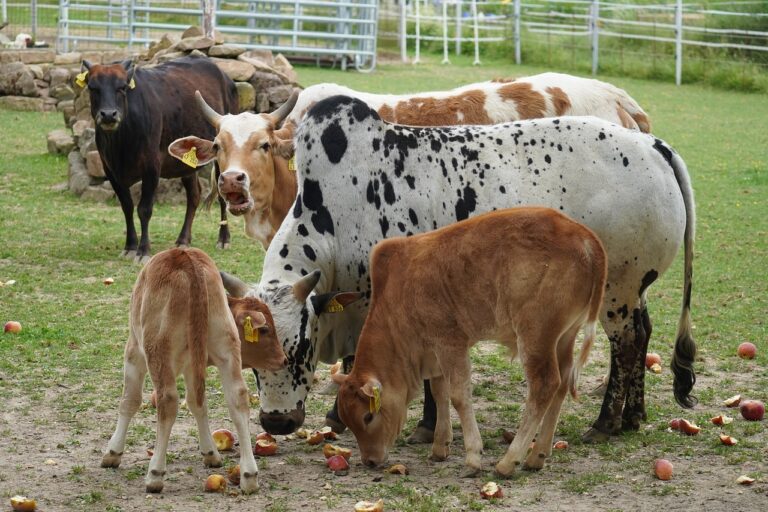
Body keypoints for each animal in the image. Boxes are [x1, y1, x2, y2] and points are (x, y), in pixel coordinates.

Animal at [82, 56, 238, 264]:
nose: (108, 114)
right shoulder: (111, 171)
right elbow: (127, 206)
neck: (121, 145)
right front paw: (130, 246)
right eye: (92, 87)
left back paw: (224, 239)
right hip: (186, 163)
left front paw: (143, 251)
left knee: (221, 196)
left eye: (122, 87)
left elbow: (144, 209)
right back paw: (183, 239)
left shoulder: (151, 167)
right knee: (194, 195)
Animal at [100, 247, 288, 494]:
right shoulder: (193, 366)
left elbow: (129, 401)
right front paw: (210, 452)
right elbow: (197, 404)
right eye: (265, 329)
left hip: (156, 351)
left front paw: (113, 452)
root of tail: (187, 258)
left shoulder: (133, 351)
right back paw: (249, 475)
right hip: (227, 349)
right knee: (237, 399)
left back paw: (155, 473)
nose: (284, 359)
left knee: (168, 401)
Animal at [220, 95, 696, 444]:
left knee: (628, 343)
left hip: (618, 287)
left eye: (300, 347)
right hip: (633, 289)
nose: (277, 422)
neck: (334, 216)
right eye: (250, 358)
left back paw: (607, 422)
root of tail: (655, 147)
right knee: (643, 332)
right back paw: (634, 415)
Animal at [333, 207, 607, 476]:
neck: (397, 293)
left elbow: (458, 396)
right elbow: (439, 392)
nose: (370, 460)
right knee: (563, 383)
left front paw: (473, 458)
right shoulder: (435, 353)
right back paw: (536, 455)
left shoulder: (450, 343)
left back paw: (508, 462)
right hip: (565, 336)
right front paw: (440, 447)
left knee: (545, 386)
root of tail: (584, 236)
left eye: (367, 417)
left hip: (535, 336)